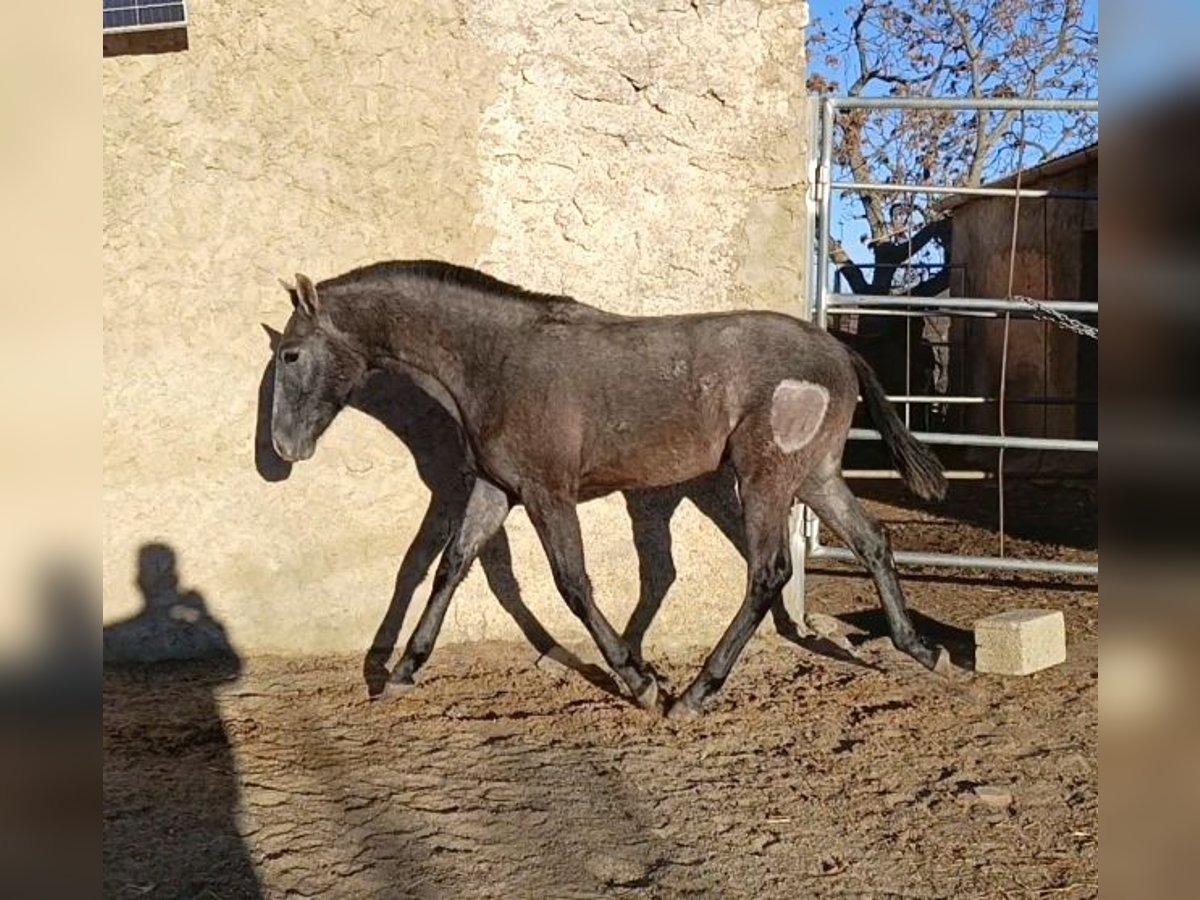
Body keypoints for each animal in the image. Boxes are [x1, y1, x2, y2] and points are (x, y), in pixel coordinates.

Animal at [270, 260, 945, 720]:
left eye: (292, 355)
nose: (282, 447)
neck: (497, 359)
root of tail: (837, 349)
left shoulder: (547, 492)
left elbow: (570, 583)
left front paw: (639, 681)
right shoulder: (495, 487)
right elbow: (447, 566)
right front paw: (401, 671)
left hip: (764, 478)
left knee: (767, 572)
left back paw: (694, 693)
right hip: (814, 477)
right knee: (872, 541)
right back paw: (918, 647)